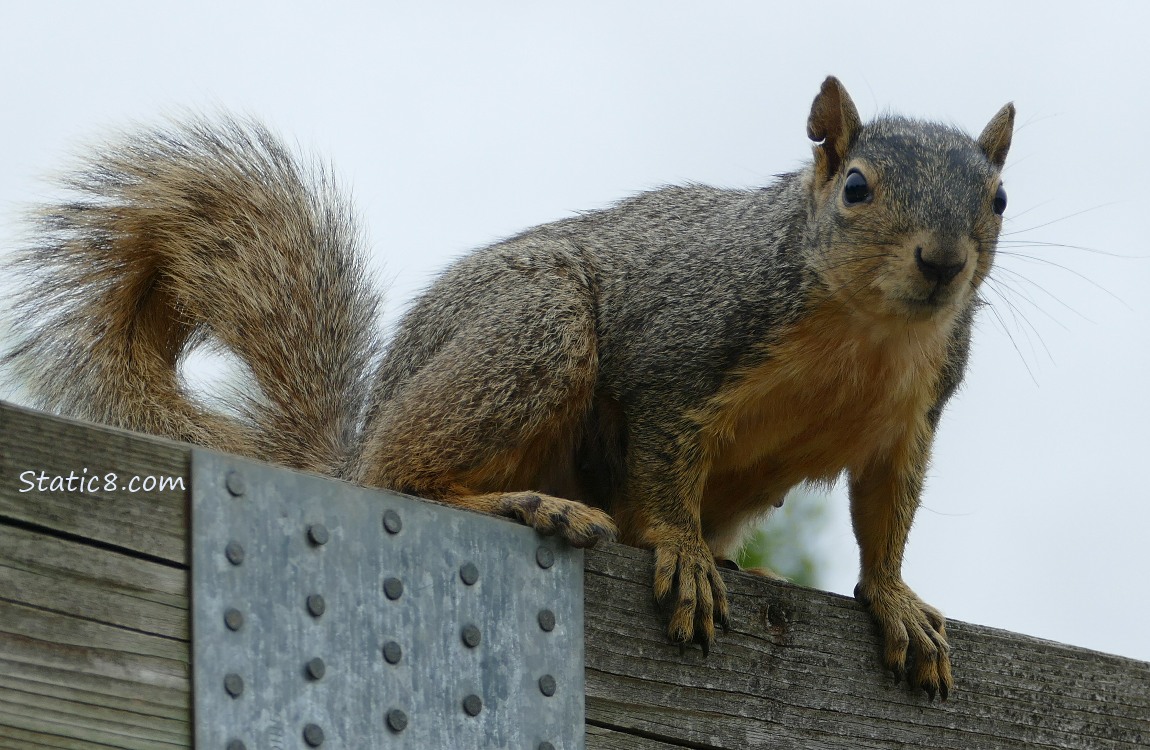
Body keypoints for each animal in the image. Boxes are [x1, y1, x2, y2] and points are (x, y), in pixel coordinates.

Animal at [6, 79, 1016, 699]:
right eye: (856, 188)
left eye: (999, 199)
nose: (942, 262)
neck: (867, 335)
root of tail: (359, 434)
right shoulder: (680, 353)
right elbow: (661, 467)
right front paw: (685, 553)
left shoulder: (914, 417)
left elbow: (887, 515)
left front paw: (895, 600)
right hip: (538, 326)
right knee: (398, 478)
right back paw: (528, 504)